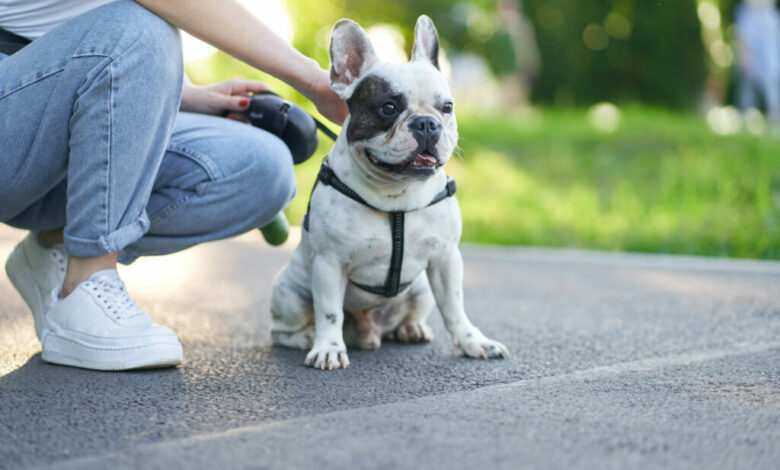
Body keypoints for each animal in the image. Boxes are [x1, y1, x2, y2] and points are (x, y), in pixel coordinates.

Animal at [270, 14, 512, 370]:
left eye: (447, 107)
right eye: (388, 107)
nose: (426, 123)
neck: (397, 196)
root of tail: (367, 332)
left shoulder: (446, 259)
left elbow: (455, 308)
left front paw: (473, 342)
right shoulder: (329, 264)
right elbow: (329, 312)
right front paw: (328, 348)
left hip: (421, 291)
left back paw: (411, 329)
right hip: (288, 292)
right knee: (284, 330)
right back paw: (306, 338)